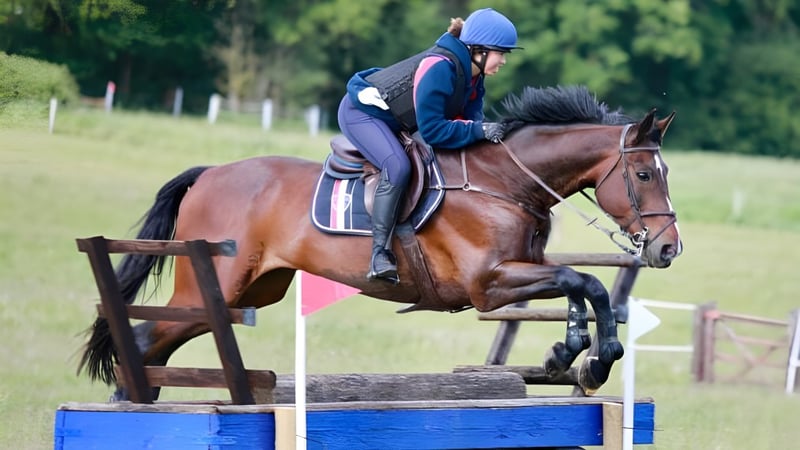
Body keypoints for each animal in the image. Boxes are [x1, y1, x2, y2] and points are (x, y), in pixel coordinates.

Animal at [78, 85, 681, 400]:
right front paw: (596, 358)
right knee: (147, 334)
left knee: (158, 338)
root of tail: (209, 174)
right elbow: (586, 281)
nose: (668, 250)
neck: (505, 181)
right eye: (644, 175)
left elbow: (581, 286)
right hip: (223, 285)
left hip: (252, 291)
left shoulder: (522, 267)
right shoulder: (487, 284)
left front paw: (572, 354)